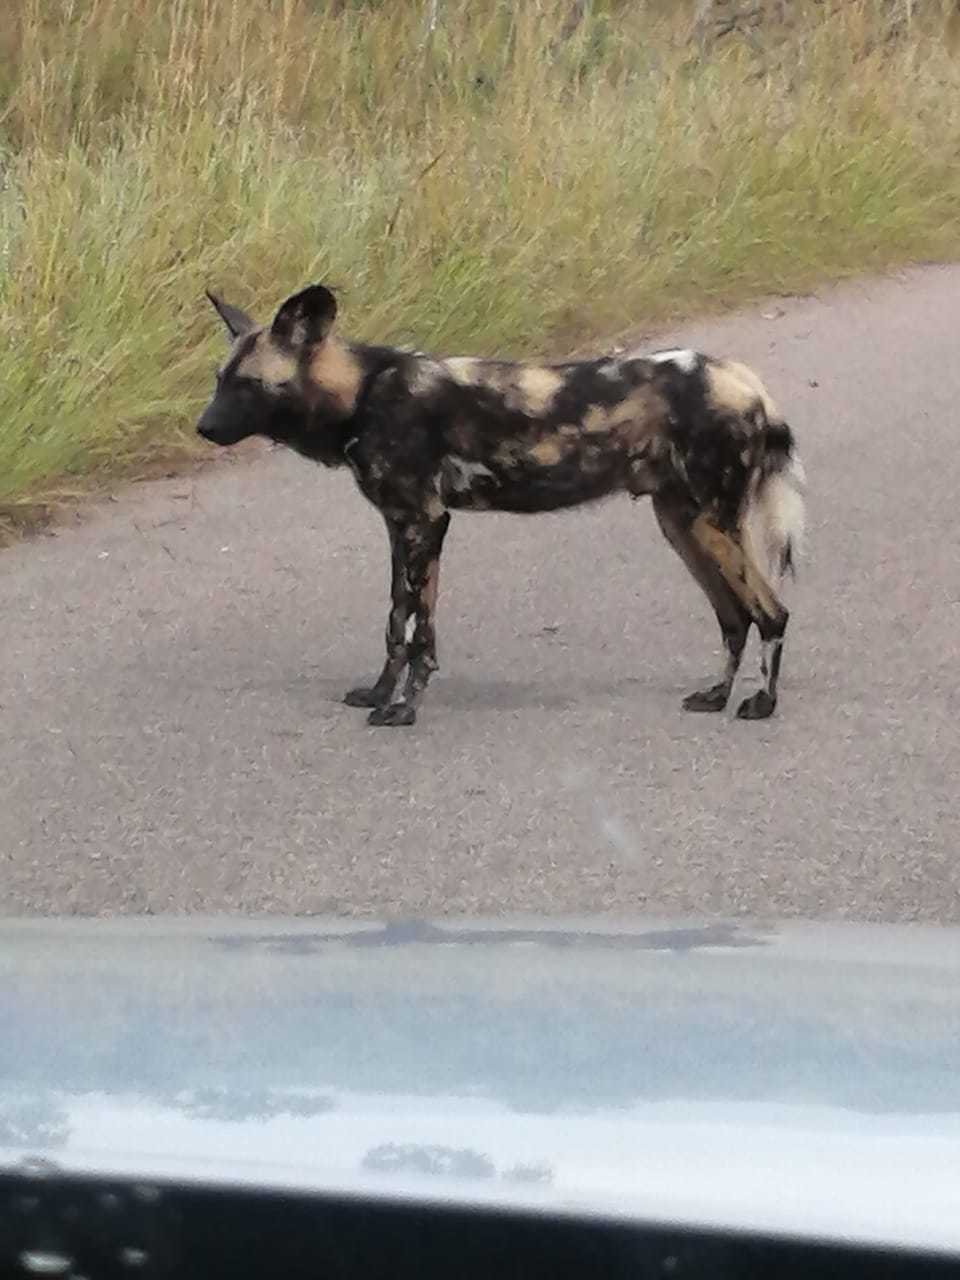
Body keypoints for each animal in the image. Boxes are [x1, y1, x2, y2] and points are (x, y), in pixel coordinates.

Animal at [199, 291, 808, 732]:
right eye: (218, 380)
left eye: (247, 385)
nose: (202, 427)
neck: (363, 395)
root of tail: (745, 381)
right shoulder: (403, 526)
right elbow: (398, 623)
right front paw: (378, 692)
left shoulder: (425, 521)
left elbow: (419, 635)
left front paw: (403, 709)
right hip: (681, 525)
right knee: (734, 617)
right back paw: (717, 694)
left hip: (711, 525)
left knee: (771, 612)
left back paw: (761, 703)